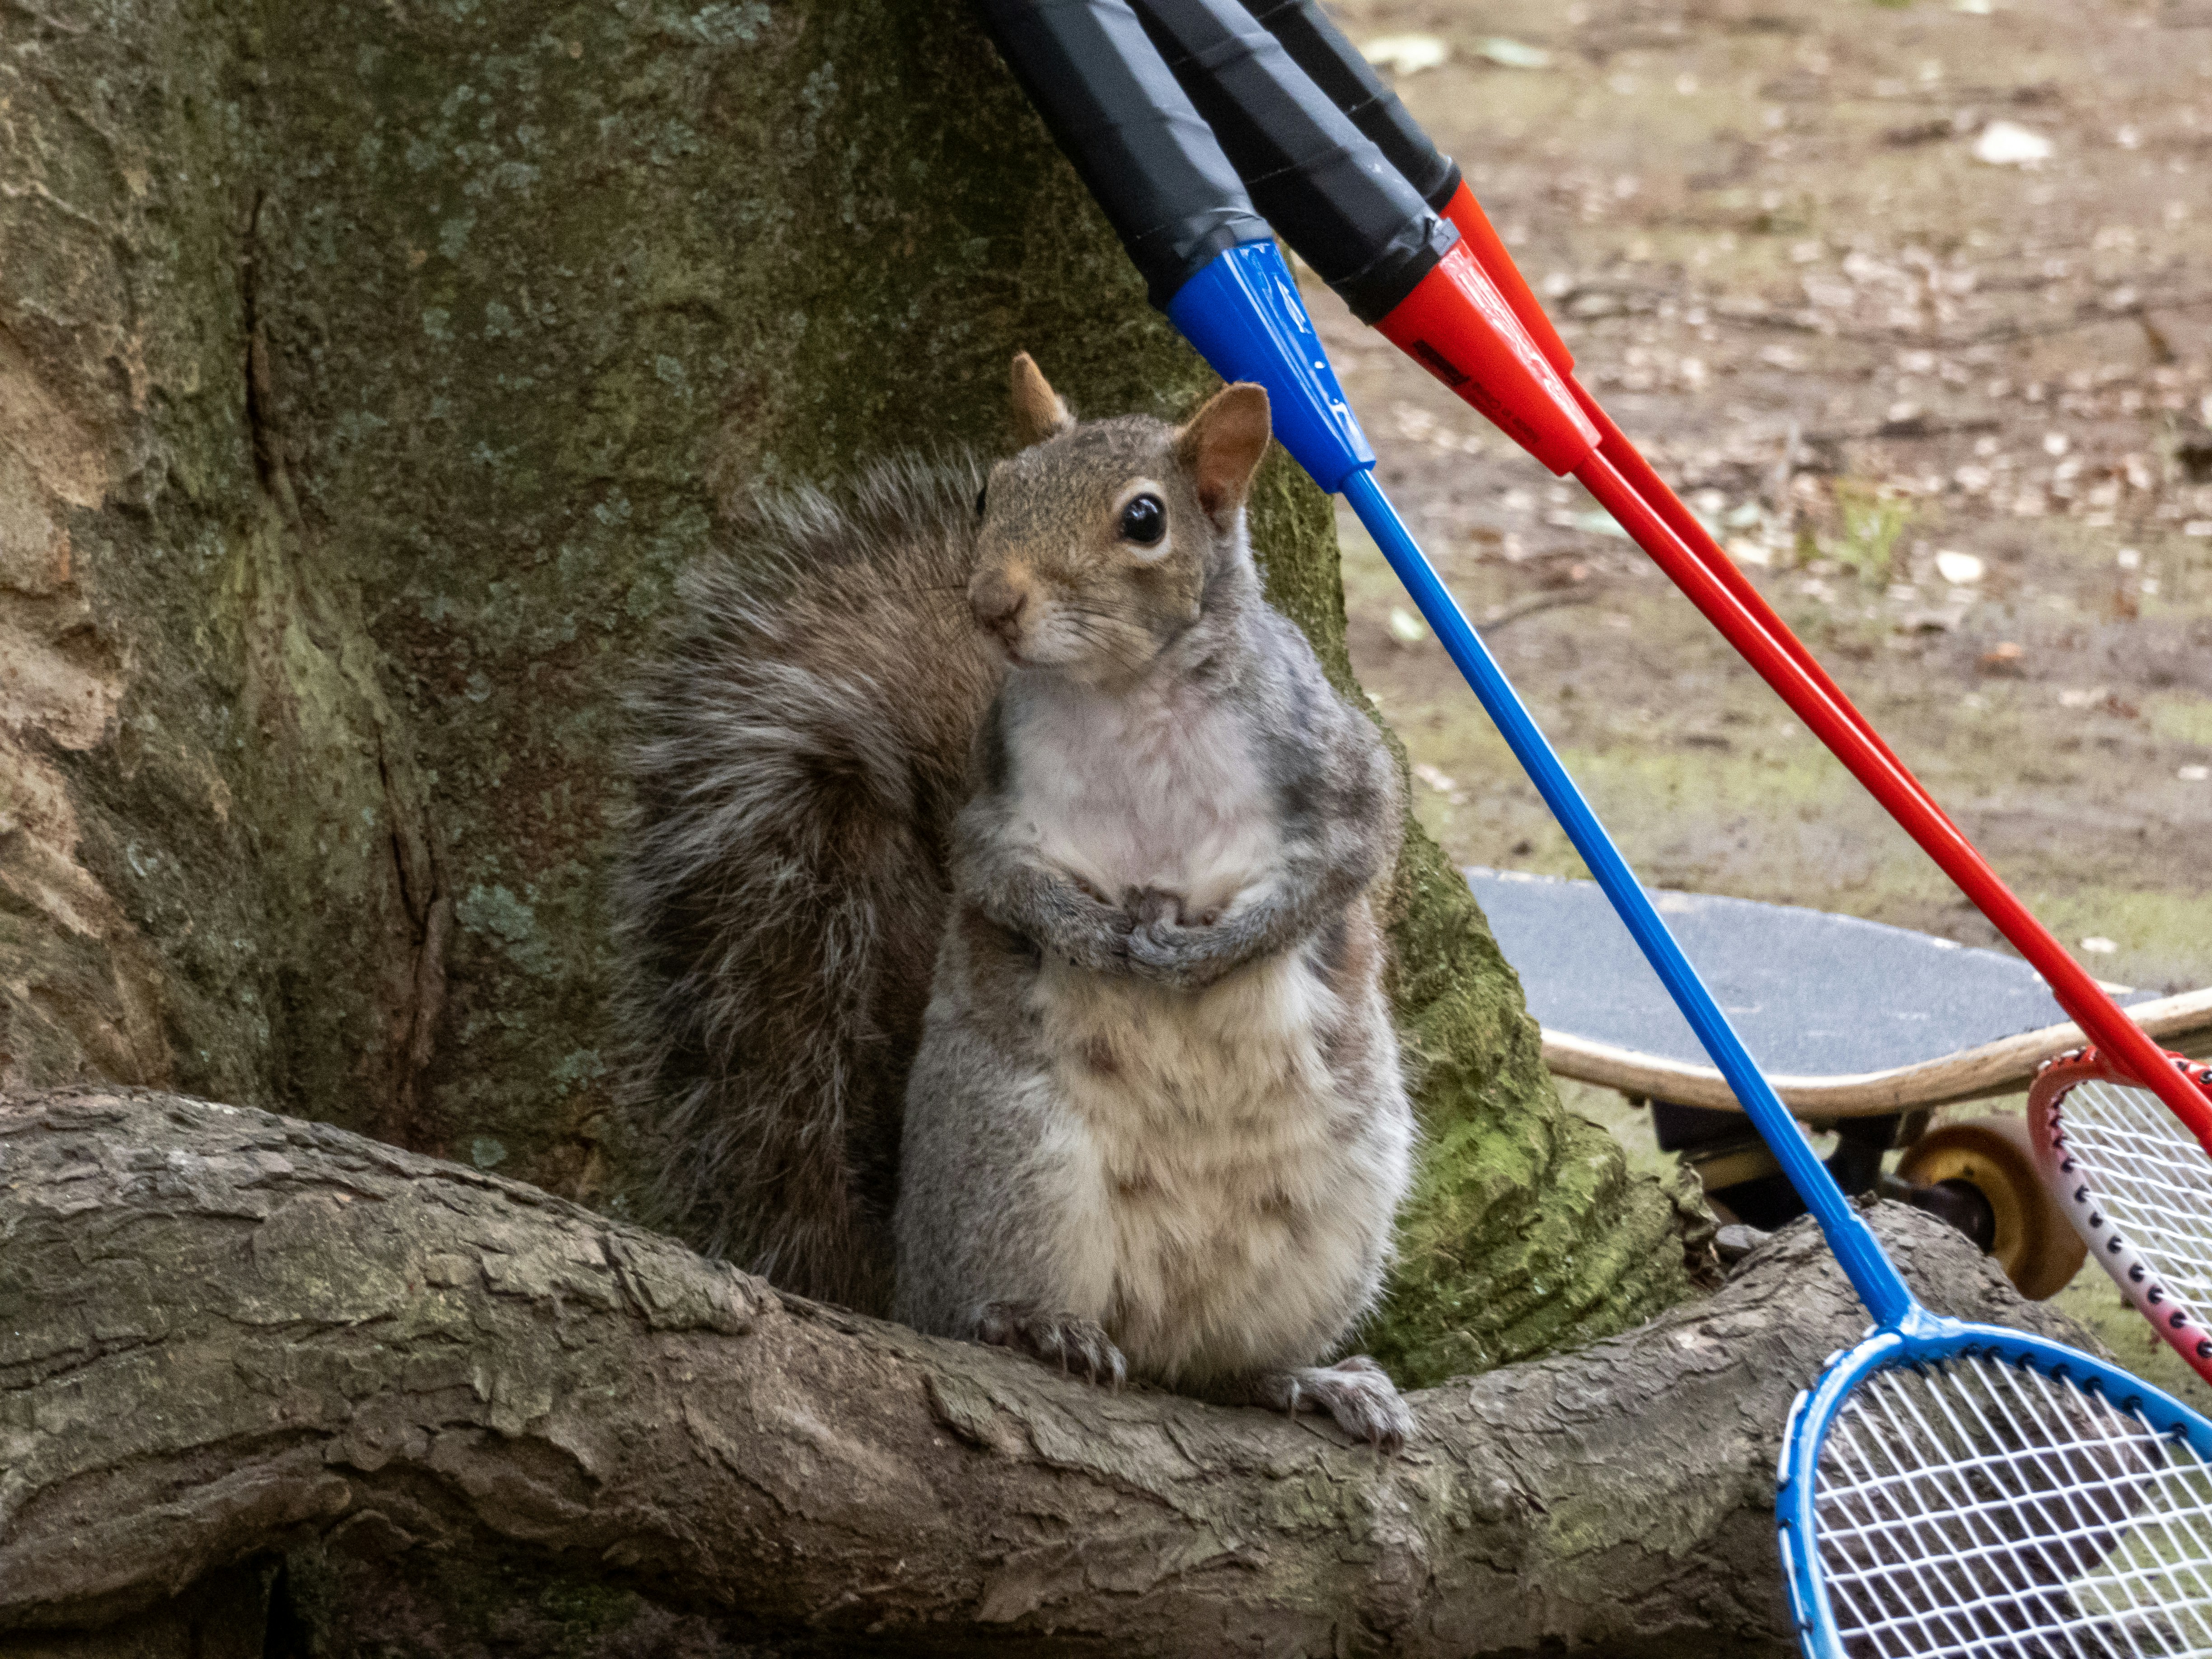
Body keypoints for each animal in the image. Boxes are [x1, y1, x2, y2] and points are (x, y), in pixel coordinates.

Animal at [619, 354, 1416, 1446]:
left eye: (1144, 520)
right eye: (991, 492)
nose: (992, 600)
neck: (1126, 696)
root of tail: (902, 1275)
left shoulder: (1332, 763)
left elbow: (1353, 857)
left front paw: (1208, 951)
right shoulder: (992, 809)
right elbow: (996, 881)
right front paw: (1090, 935)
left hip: (1334, 1217)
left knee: (1225, 1370)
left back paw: (1311, 1378)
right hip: (1020, 1169)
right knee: (984, 1312)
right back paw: (1036, 1328)